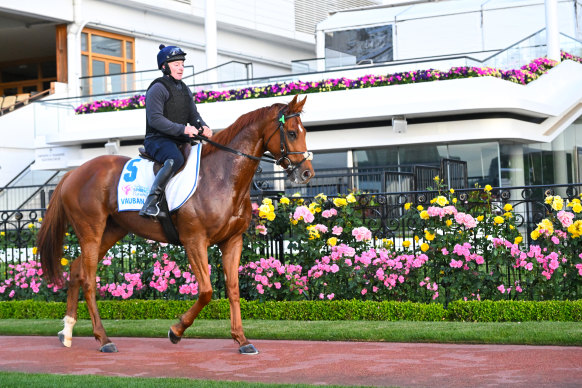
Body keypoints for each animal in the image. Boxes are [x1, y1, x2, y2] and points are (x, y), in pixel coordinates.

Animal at [37, 94, 314, 354]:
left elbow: (233, 289)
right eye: (291, 132)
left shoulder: (232, 241)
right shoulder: (194, 241)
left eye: (304, 132)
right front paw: (176, 330)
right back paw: (103, 338)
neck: (221, 177)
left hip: (111, 231)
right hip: (91, 232)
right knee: (88, 280)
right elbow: (206, 291)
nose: (307, 173)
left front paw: (242, 340)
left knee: (76, 270)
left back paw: (67, 331)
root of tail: (73, 173)